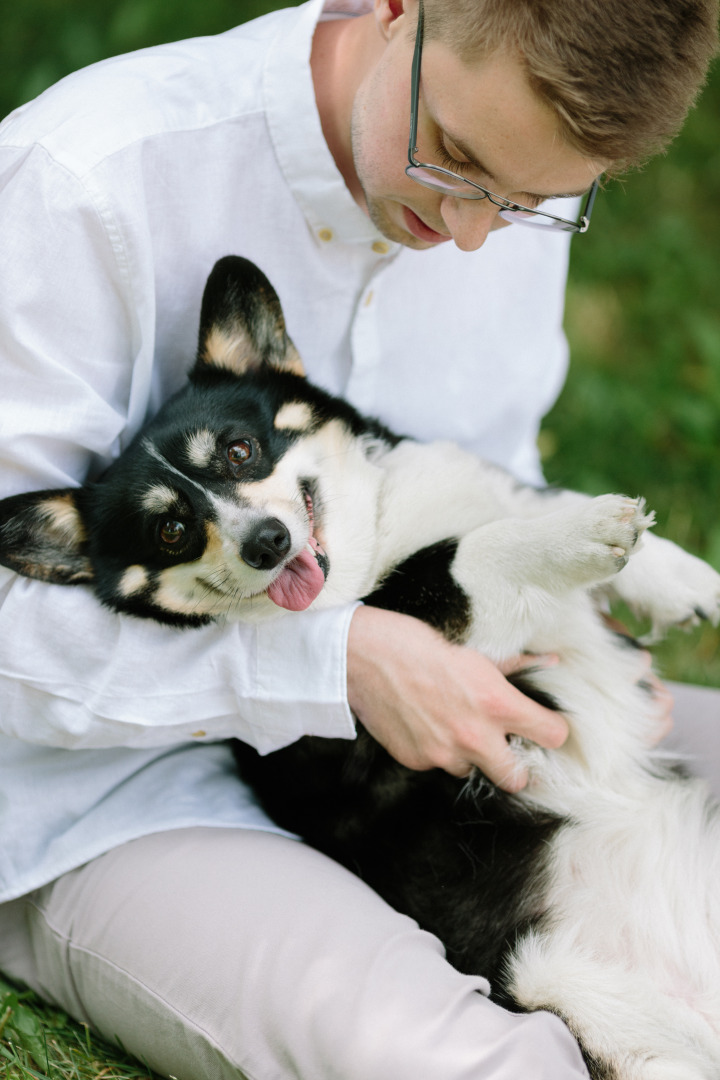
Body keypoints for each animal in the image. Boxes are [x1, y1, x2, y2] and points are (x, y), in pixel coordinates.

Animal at [1, 257, 720, 1075]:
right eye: (173, 530)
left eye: (240, 450)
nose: (268, 542)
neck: (372, 537)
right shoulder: (405, 647)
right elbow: (472, 551)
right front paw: (588, 533)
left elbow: (531, 499)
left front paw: (682, 581)